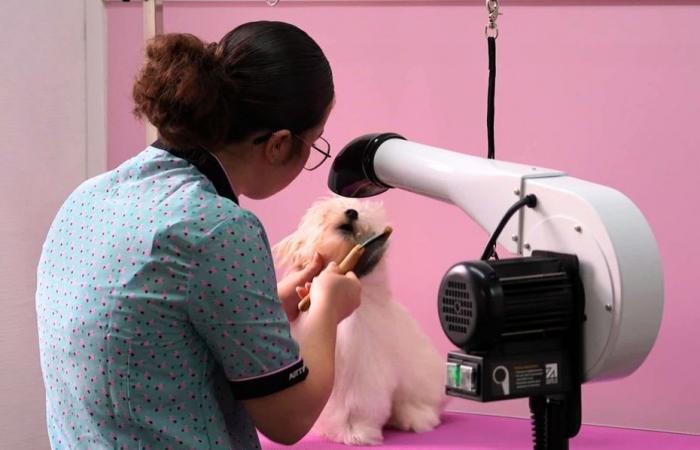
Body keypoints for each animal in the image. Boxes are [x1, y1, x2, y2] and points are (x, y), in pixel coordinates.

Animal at [274, 198, 448, 446]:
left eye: (366, 222)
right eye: (325, 213)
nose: (351, 212)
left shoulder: (360, 369)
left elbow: (354, 405)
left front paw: (353, 431)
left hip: (419, 382)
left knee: (419, 405)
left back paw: (413, 418)